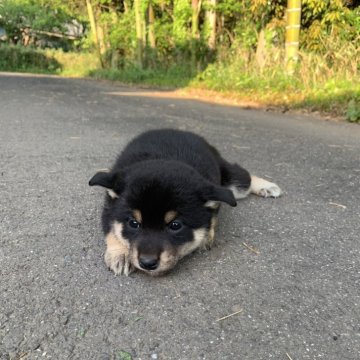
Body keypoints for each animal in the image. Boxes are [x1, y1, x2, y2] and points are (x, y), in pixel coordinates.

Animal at [89, 129, 282, 276]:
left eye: (175, 225)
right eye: (133, 223)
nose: (147, 263)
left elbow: (212, 215)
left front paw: (206, 236)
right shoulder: (110, 207)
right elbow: (112, 232)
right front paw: (120, 255)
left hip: (232, 182)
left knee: (244, 177)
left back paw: (268, 186)